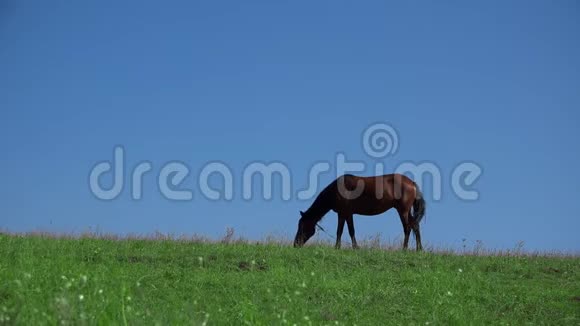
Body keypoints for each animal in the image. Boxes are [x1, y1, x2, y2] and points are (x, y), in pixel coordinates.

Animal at [294, 174, 426, 251]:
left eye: (302, 226)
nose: (295, 244)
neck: (336, 190)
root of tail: (412, 183)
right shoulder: (343, 214)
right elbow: (342, 231)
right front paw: (339, 247)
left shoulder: (346, 213)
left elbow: (349, 230)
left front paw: (353, 247)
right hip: (406, 211)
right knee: (415, 226)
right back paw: (419, 249)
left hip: (402, 211)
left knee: (407, 228)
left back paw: (404, 249)